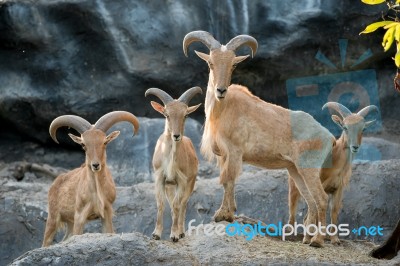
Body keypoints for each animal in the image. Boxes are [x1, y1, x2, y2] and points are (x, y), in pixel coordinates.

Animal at [42, 110, 139, 247]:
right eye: (83, 144)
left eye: (105, 142)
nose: (95, 165)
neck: (96, 193)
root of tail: (56, 182)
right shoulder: (79, 217)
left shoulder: (107, 213)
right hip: (53, 218)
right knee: (46, 241)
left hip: (69, 222)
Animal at [145, 86, 202, 242]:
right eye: (166, 115)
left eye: (185, 115)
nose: (176, 136)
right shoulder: (160, 178)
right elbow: (161, 204)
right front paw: (156, 234)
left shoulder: (182, 180)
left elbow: (177, 205)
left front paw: (175, 235)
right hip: (170, 186)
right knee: (172, 205)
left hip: (190, 183)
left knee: (183, 205)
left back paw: (181, 232)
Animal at [184, 30, 334, 246]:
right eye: (211, 63)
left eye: (233, 65)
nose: (221, 90)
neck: (222, 110)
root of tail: (329, 136)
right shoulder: (224, 156)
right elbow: (226, 181)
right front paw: (229, 212)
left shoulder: (234, 152)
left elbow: (228, 179)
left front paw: (223, 215)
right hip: (295, 170)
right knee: (311, 201)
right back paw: (307, 239)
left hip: (309, 168)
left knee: (321, 199)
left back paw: (317, 241)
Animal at [288, 102, 378, 245]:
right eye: (345, 127)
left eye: (363, 129)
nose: (355, 147)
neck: (335, 159)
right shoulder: (320, 182)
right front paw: (312, 238)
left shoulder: (338, 188)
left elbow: (334, 210)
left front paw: (335, 239)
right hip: (294, 184)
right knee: (293, 206)